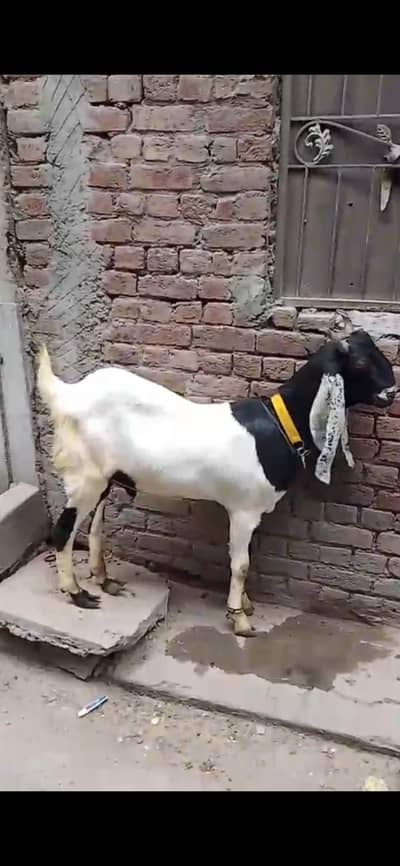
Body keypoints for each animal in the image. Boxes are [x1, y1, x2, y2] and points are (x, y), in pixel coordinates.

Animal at [37, 327, 396, 637]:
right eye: (360, 363)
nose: (391, 392)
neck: (281, 424)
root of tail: (69, 395)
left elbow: (244, 559)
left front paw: (246, 605)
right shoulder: (243, 510)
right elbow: (241, 564)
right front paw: (240, 619)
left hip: (104, 477)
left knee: (95, 527)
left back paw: (104, 580)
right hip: (86, 476)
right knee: (64, 529)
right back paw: (76, 592)